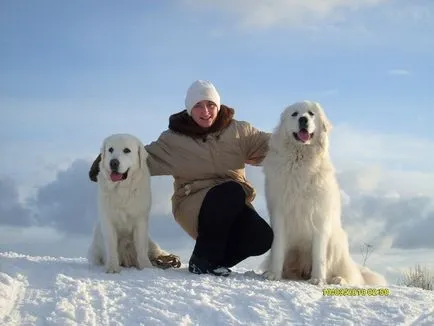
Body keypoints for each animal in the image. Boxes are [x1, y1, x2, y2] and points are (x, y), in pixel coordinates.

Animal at [88, 132, 170, 272]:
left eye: (127, 150)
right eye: (110, 150)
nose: (113, 163)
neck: (122, 190)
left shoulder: (140, 221)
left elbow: (141, 247)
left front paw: (146, 267)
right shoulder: (108, 221)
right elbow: (111, 245)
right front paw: (112, 268)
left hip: (152, 243)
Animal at [262, 101, 386, 286]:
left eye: (311, 113)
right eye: (294, 114)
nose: (303, 119)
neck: (301, 160)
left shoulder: (320, 216)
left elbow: (319, 255)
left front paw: (318, 279)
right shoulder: (280, 212)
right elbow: (277, 249)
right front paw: (273, 274)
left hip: (336, 243)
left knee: (347, 274)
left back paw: (337, 279)